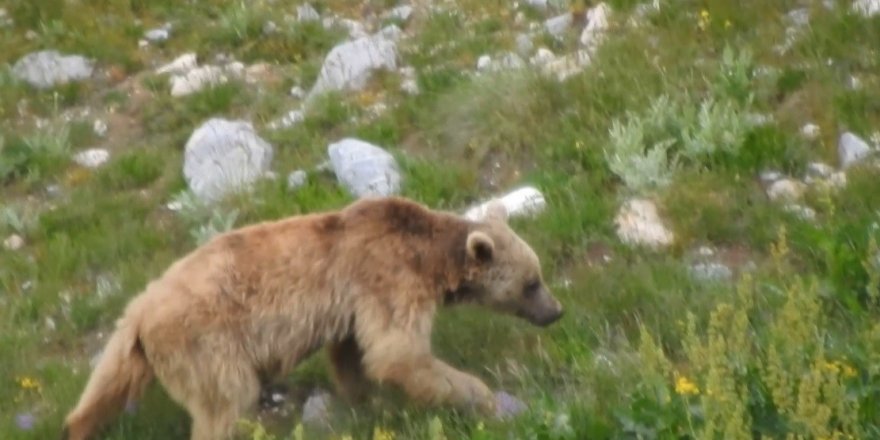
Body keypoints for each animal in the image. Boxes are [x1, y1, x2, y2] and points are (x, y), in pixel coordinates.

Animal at [65, 197, 568, 440]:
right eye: (531, 282)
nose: (555, 311)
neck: (430, 259)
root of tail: (143, 313)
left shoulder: (353, 306)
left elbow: (353, 355)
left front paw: (365, 402)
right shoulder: (387, 277)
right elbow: (399, 353)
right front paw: (482, 397)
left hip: (129, 345)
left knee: (103, 387)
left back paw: (77, 427)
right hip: (206, 345)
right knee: (223, 404)